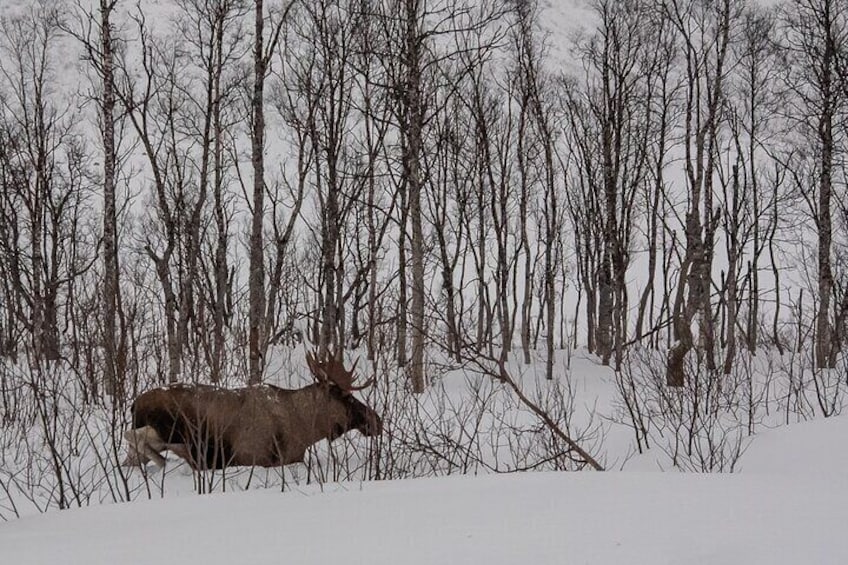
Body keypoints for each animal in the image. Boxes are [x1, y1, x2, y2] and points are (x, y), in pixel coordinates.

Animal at [122, 352, 380, 468]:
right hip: (171, 428)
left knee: (132, 456)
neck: (306, 430)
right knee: (133, 436)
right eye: (348, 398)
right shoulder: (260, 457)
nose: (376, 420)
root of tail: (134, 404)